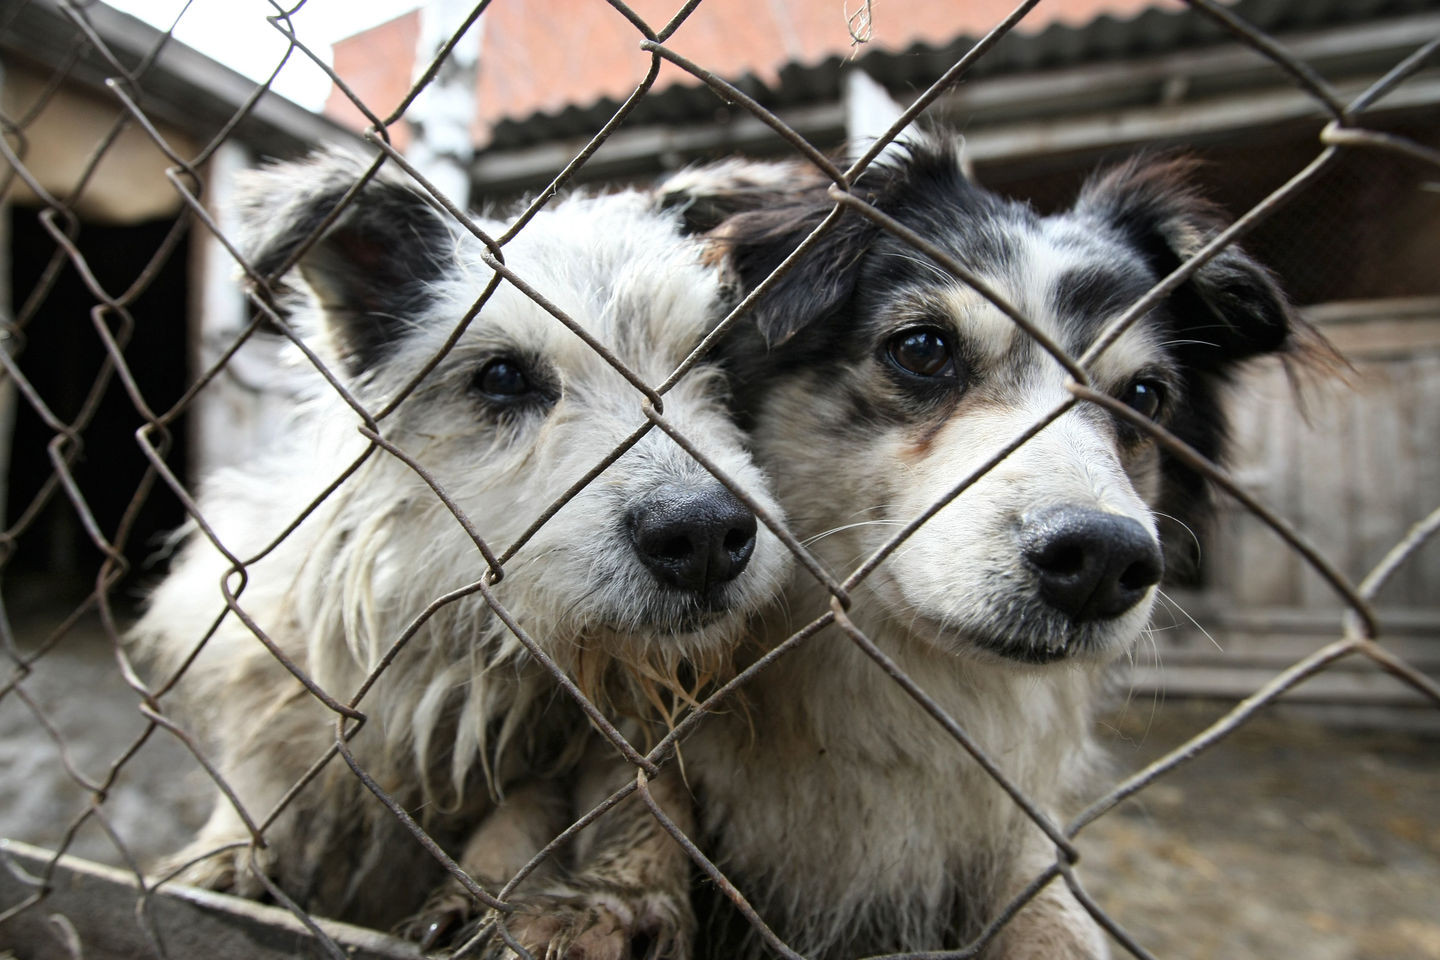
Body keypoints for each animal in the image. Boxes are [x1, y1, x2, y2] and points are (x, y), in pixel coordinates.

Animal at [128, 152, 789, 950]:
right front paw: (228, 852)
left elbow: (616, 799)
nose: (702, 537)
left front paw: (598, 896)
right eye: (501, 377)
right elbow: (260, 779)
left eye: (717, 356)